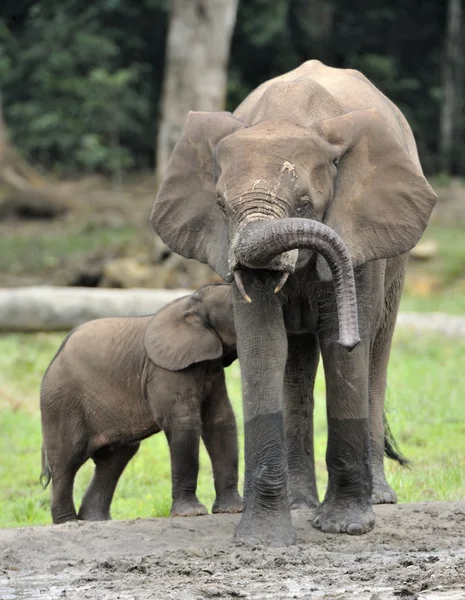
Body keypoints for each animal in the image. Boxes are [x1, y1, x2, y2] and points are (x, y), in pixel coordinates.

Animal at [40, 284, 243, 524]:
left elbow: (221, 421)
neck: (191, 302)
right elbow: (184, 423)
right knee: (67, 460)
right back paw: (69, 522)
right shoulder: (164, 370)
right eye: (234, 309)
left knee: (115, 458)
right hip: (61, 402)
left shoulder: (211, 368)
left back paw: (96, 520)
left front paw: (232, 510)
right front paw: (191, 513)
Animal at [150, 62, 436, 548]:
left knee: (376, 351)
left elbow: (343, 348)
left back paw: (378, 499)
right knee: (296, 363)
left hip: (395, 260)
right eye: (221, 206)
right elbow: (264, 346)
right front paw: (263, 540)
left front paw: (346, 527)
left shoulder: (359, 233)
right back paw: (302, 504)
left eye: (305, 204)